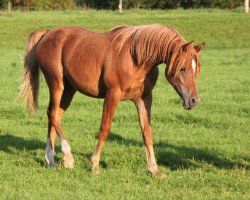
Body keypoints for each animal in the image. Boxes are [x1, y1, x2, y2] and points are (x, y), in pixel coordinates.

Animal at [20, 24, 205, 177]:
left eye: (195, 69)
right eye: (183, 68)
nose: (194, 101)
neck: (136, 59)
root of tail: (48, 34)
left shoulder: (144, 99)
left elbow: (147, 132)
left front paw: (154, 168)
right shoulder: (112, 96)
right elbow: (105, 129)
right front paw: (95, 165)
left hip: (69, 90)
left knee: (54, 116)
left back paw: (51, 160)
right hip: (56, 84)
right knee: (53, 114)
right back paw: (68, 157)